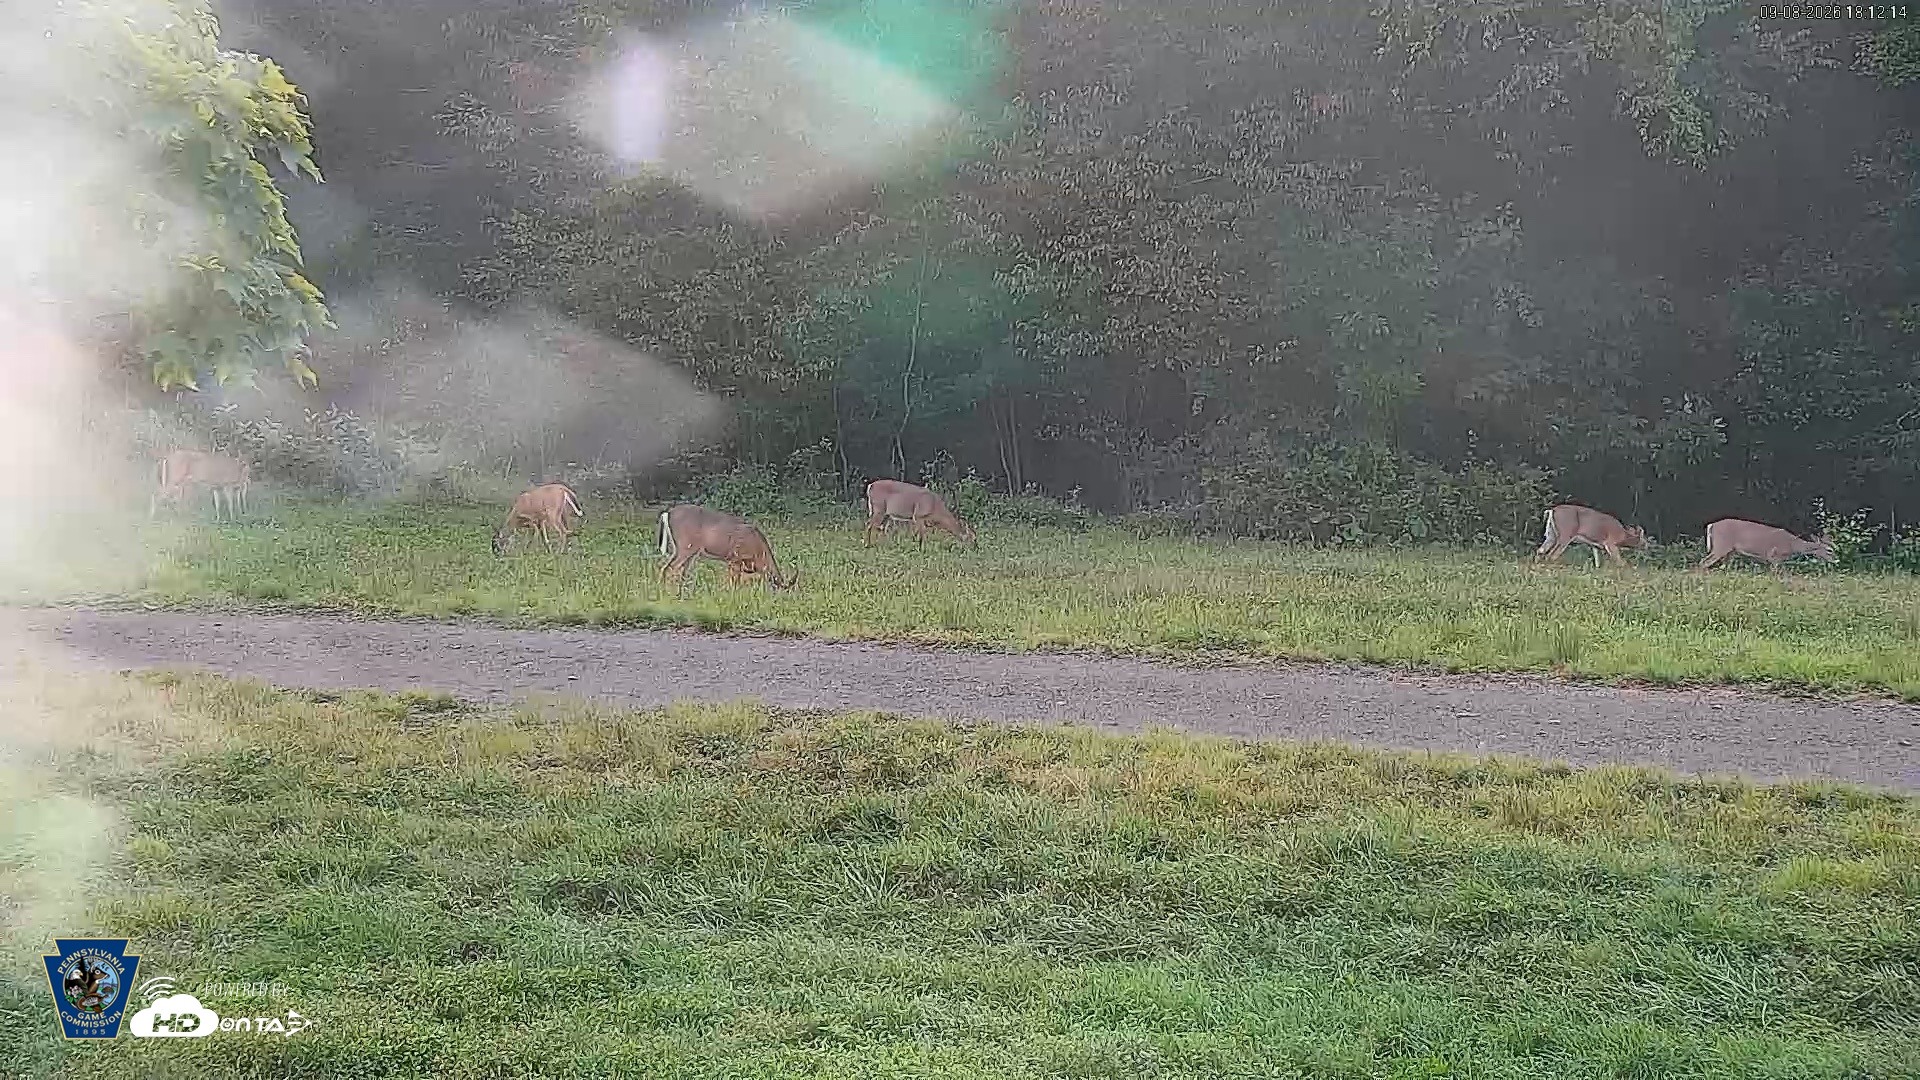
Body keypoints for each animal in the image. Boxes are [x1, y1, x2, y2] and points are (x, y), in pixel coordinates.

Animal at [658, 503, 797, 594]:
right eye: (783, 590)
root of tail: (667, 513)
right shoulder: (735, 558)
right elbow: (734, 582)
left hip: (687, 550)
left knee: (679, 571)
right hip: (685, 546)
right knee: (670, 568)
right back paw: (669, 593)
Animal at [1696, 518, 1836, 574]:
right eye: (1829, 550)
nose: (1835, 560)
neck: (1792, 545)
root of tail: (1711, 525)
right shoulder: (1774, 557)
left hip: (1730, 551)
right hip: (1721, 545)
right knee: (1703, 562)